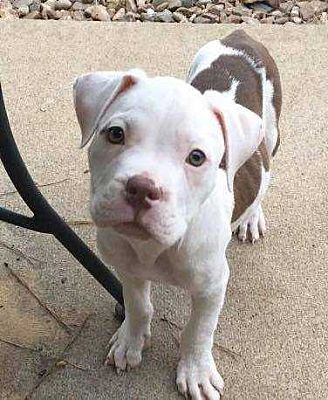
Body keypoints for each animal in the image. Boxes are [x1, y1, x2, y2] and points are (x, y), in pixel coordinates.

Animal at [73, 29, 280, 398]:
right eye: (115, 134)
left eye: (197, 157)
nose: (141, 188)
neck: (155, 247)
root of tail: (241, 36)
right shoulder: (127, 266)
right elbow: (138, 305)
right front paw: (130, 341)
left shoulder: (212, 285)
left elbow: (199, 330)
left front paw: (196, 371)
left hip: (270, 132)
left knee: (265, 169)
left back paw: (251, 217)